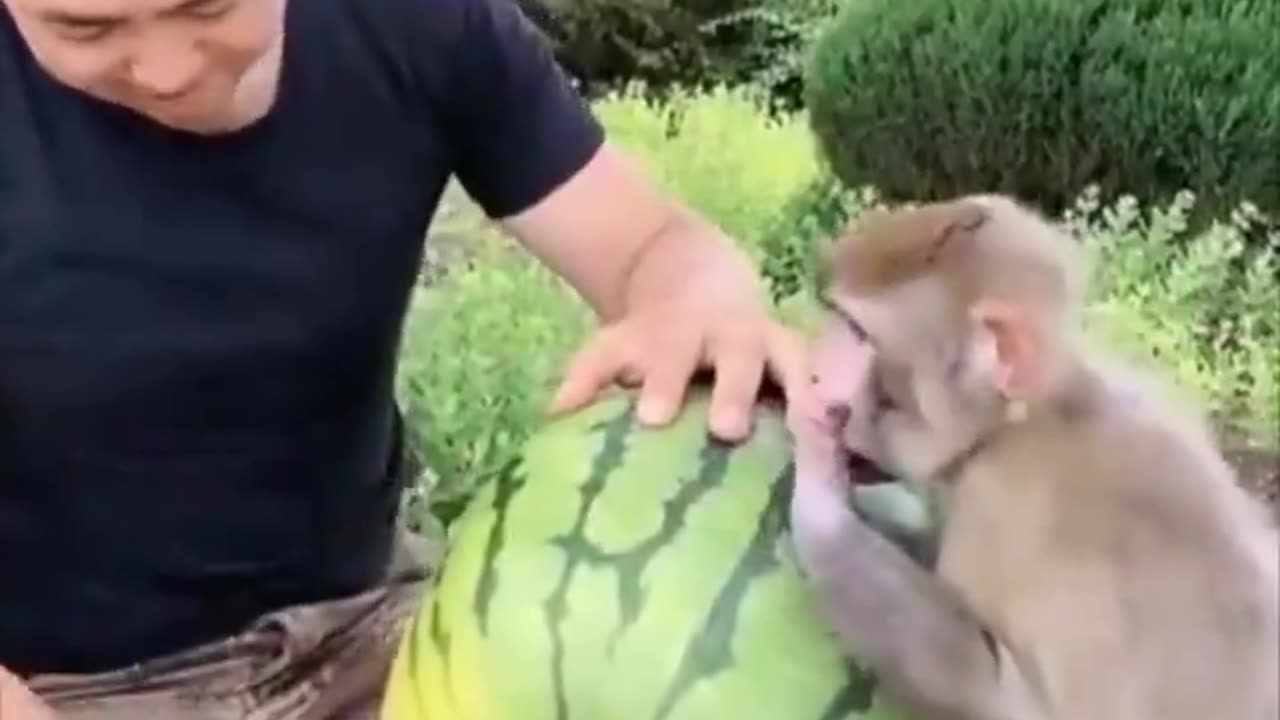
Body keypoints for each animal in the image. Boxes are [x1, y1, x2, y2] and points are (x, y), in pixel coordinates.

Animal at [783, 192, 1274, 717]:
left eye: (855, 331)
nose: (816, 371)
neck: (1017, 426)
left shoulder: (1000, 509)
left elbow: (1008, 699)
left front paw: (817, 484)